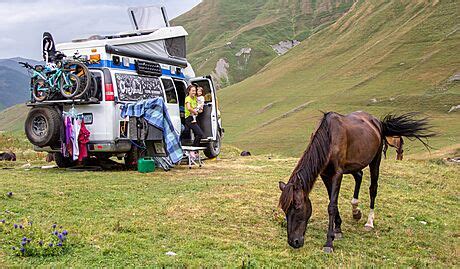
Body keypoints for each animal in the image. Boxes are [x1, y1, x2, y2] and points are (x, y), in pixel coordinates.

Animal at [278, 110, 434, 251]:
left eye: (297, 207)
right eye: (285, 210)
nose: (294, 242)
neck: (329, 139)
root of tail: (378, 122)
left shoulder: (337, 174)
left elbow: (332, 205)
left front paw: (329, 242)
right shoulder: (325, 175)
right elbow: (332, 201)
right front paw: (338, 229)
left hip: (375, 160)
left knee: (373, 189)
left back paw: (369, 222)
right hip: (355, 164)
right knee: (359, 175)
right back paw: (355, 210)